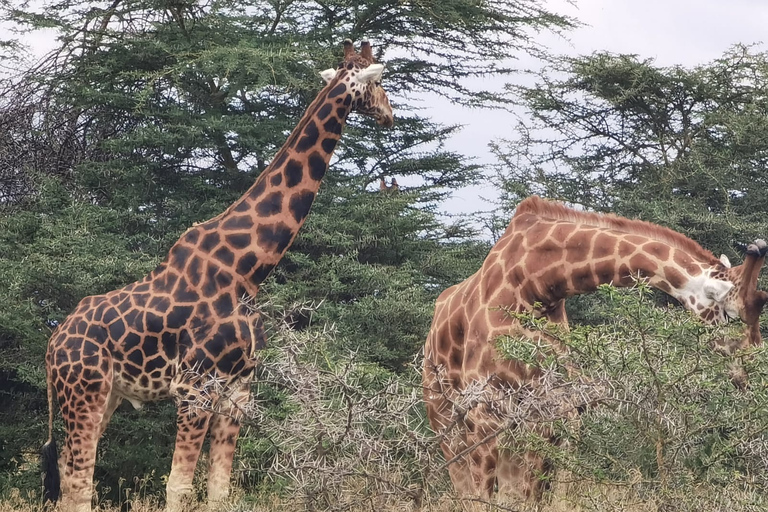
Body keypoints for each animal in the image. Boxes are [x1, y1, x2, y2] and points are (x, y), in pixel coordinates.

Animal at [40, 38, 390, 510]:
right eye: (380, 83)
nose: (390, 116)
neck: (249, 269)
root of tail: (52, 345)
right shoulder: (195, 387)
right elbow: (178, 485)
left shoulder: (238, 388)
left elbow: (220, 487)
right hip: (85, 393)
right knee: (78, 481)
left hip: (106, 395)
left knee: (69, 476)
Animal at [424, 197, 764, 504]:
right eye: (731, 316)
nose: (751, 378)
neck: (537, 281)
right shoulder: (483, 413)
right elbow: (481, 498)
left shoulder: (548, 415)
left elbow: (527, 498)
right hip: (445, 424)